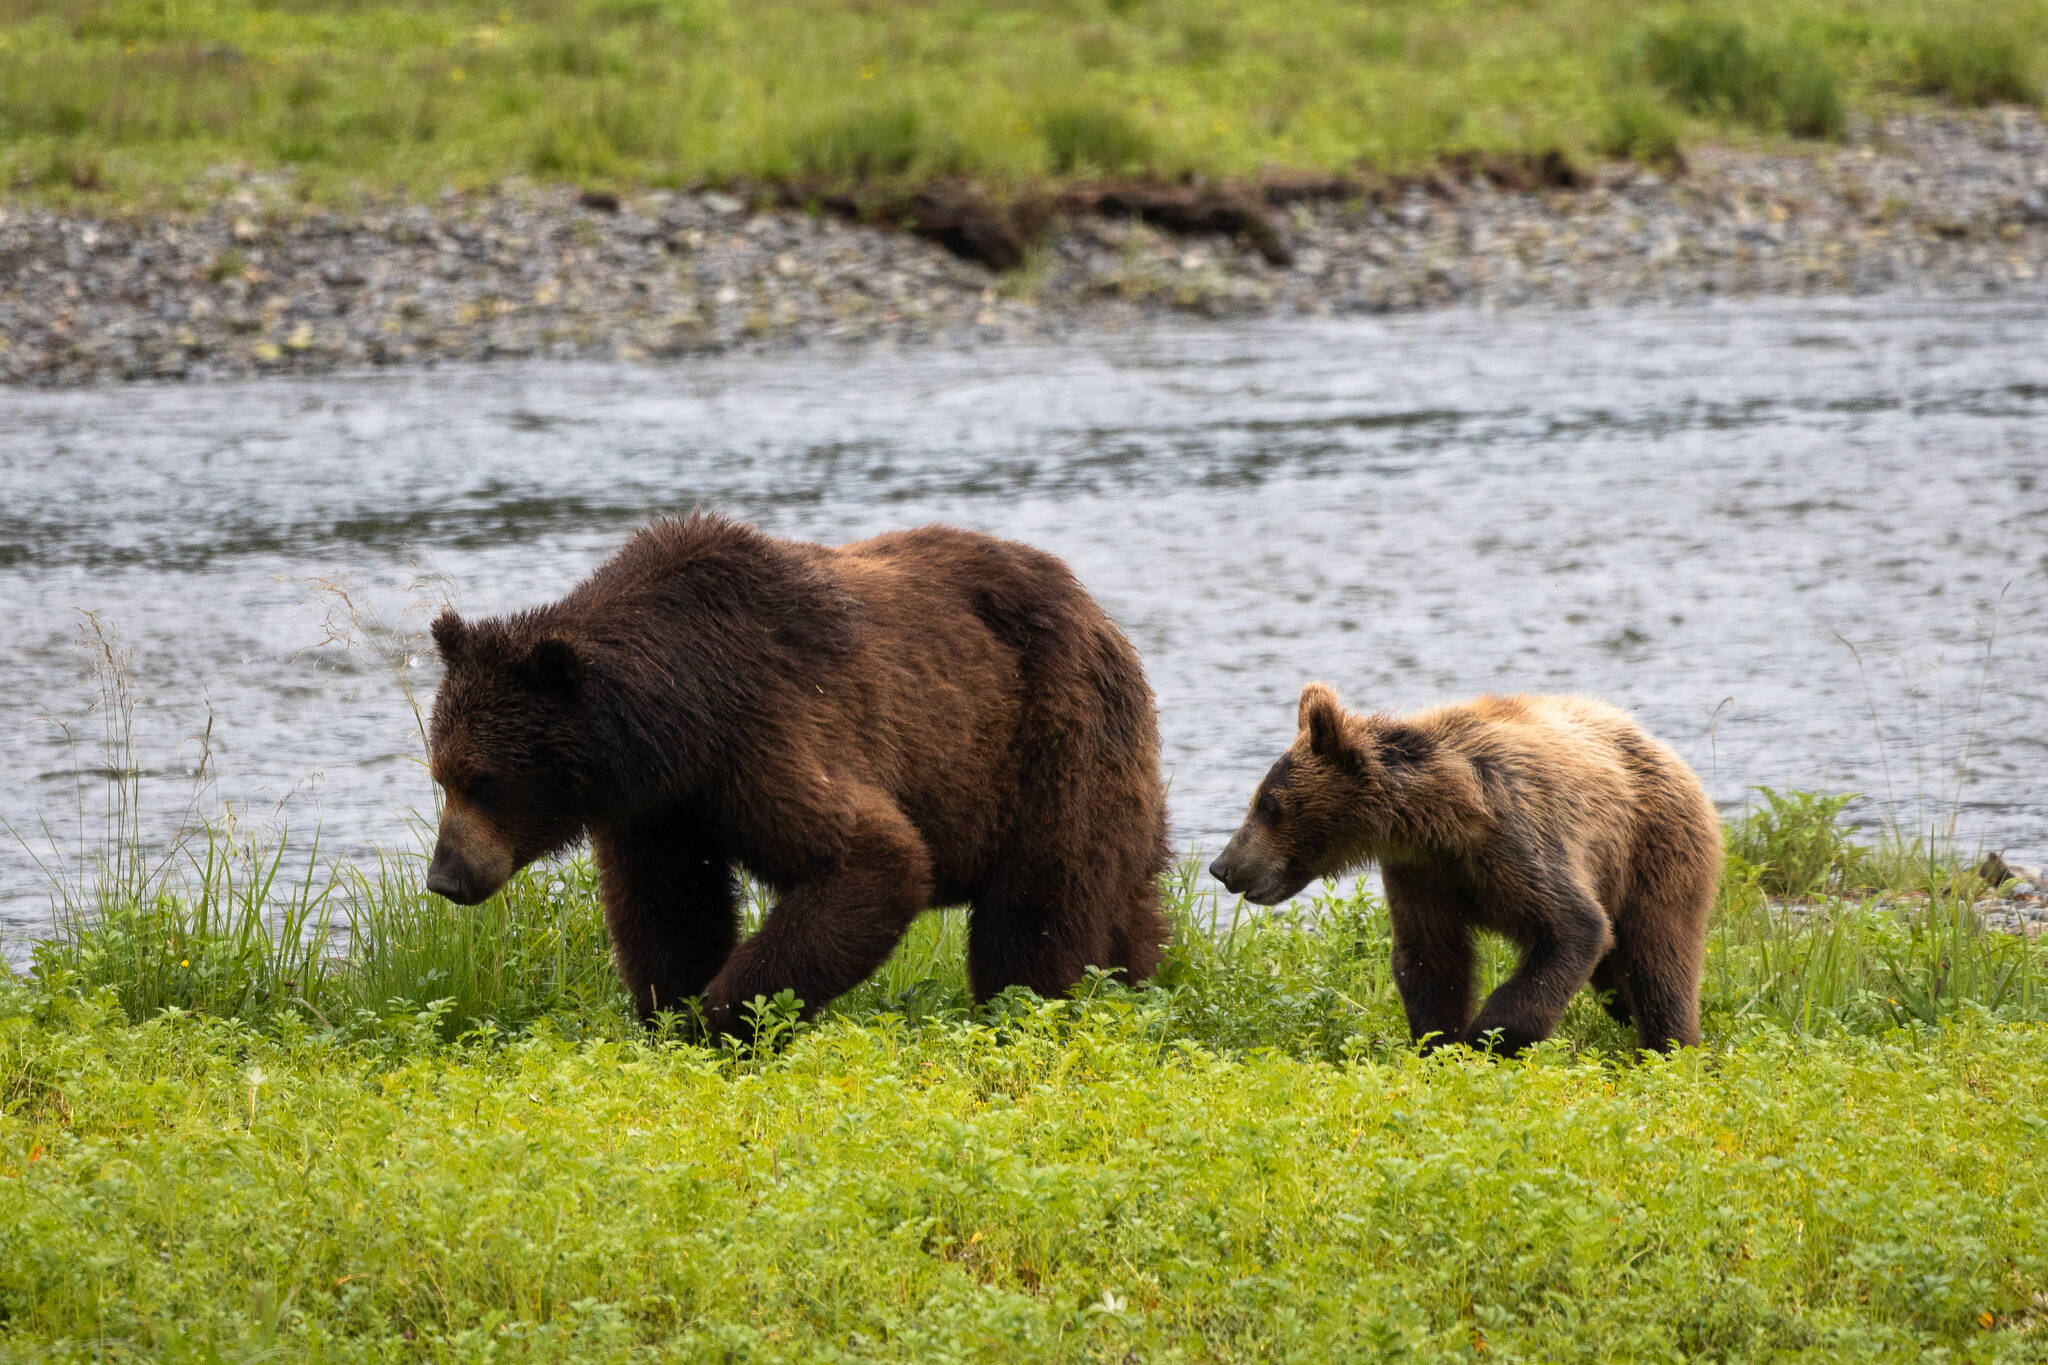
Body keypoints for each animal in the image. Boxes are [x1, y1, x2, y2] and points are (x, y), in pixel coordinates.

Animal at [423, 512, 1171, 1038]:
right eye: (441, 774)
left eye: (485, 780)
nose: (445, 876)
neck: (676, 717)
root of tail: (1101, 617)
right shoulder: (659, 808)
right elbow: (668, 909)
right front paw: (672, 1015)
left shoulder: (766, 731)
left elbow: (870, 858)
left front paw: (725, 1017)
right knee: (1126, 899)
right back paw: (1135, 987)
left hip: (1045, 742)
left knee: (1037, 906)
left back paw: (1023, 1012)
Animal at [1208, 684, 1721, 1055]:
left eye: (1269, 805)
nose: (1222, 866)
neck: (1441, 817)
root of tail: (1667, 752)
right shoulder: (1421, 874)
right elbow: (1431, 960)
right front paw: (1439, 1046)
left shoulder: (1517, 840)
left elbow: (1572, 928)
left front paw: (1484, 1040)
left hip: (1653, 853)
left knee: (1659, 960)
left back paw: (1667, 1049)